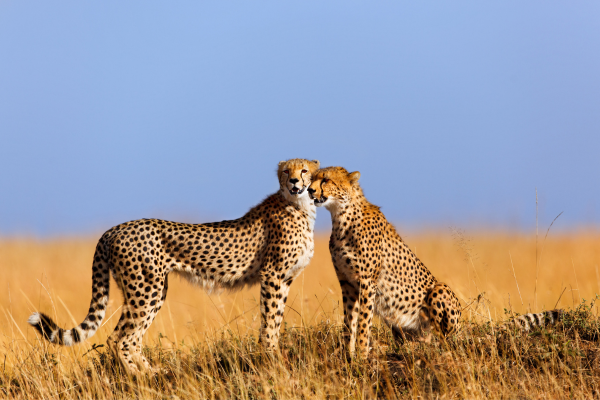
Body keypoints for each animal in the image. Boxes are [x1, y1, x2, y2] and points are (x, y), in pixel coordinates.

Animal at [29, 159, 318, 372]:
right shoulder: (273, 276)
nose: (294, 181)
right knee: (120, 338)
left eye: (304, 170)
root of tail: (115, 229)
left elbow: (276, 319)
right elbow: (270, 321)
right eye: (286, 171)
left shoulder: (284, 279)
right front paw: (272, 359)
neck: (301, 207)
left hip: (149, 291)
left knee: (131, 337)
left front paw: (273, 356)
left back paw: (152, 372)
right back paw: (139, 377)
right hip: (146, 290)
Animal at [310, 166, 564, 356]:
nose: (310, 191)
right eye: (312, 178)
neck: (341, 216)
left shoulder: (366, 282)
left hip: (439, 290)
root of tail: (461, 331)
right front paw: (348, 354)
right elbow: (349, 323)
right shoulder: (347, 283)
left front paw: (362, 355)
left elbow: (363, 323)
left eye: (326, 179)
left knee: (444, 340)